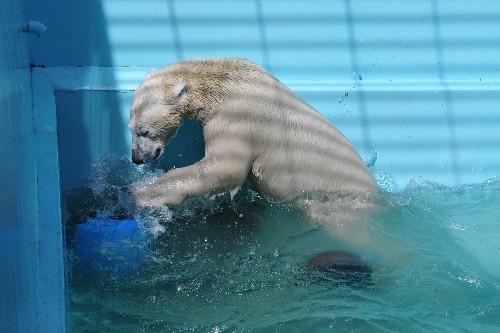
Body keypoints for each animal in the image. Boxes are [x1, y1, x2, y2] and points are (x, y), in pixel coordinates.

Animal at [129, 57, 376, 210]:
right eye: (130, 129)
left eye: (144, 131)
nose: (136, 158)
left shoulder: (236, 115)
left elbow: (224, 166)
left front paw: (139, 193)